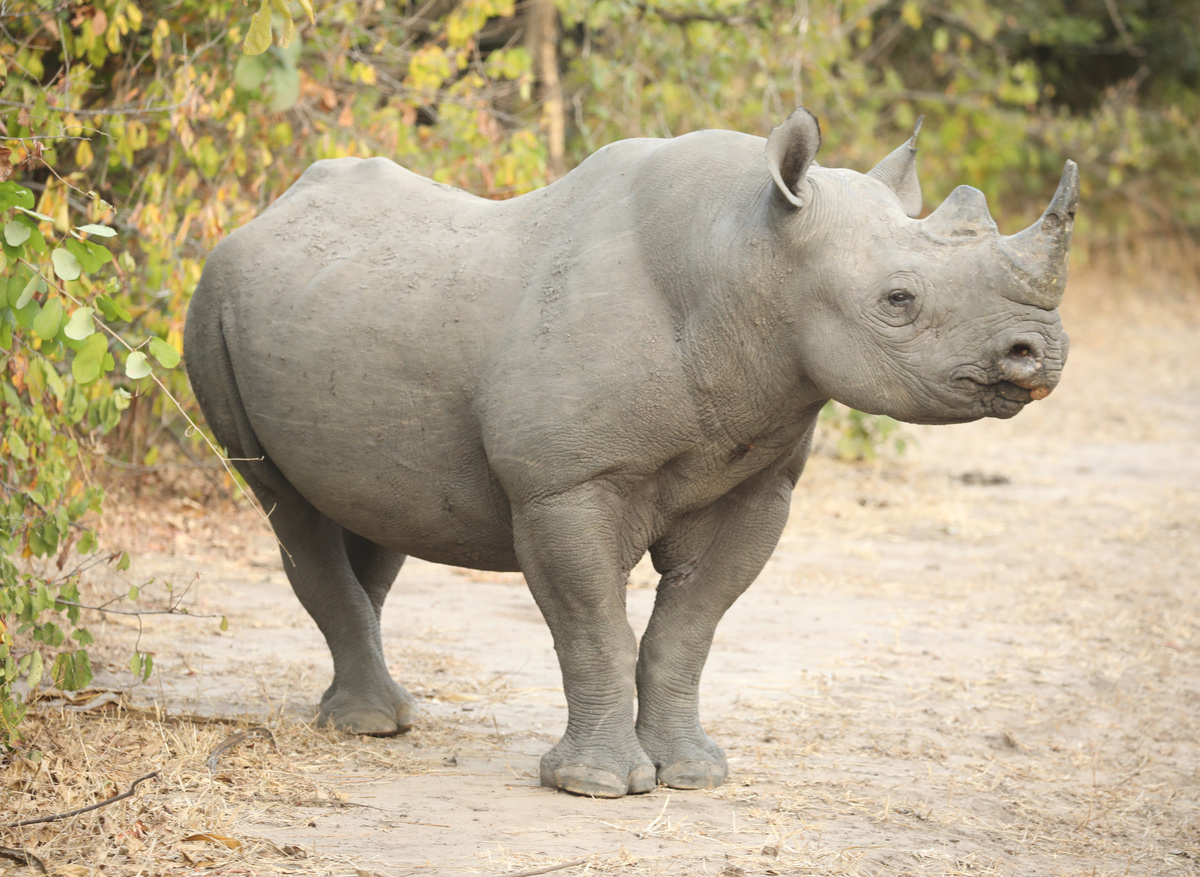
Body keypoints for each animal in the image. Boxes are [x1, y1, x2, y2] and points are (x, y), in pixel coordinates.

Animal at [184, 107, 1077, 797]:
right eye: (898, 300)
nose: (1040, 352)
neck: (751, 260)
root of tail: (259, 215)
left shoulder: (758, 484)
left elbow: (689, 627)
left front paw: (694, 774)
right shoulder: (566, 484)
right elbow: (593, 626)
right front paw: (594, 785)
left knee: (370, 514)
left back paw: (376, 718)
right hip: (211, 301)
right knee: (283, 503)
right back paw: (369, 724)